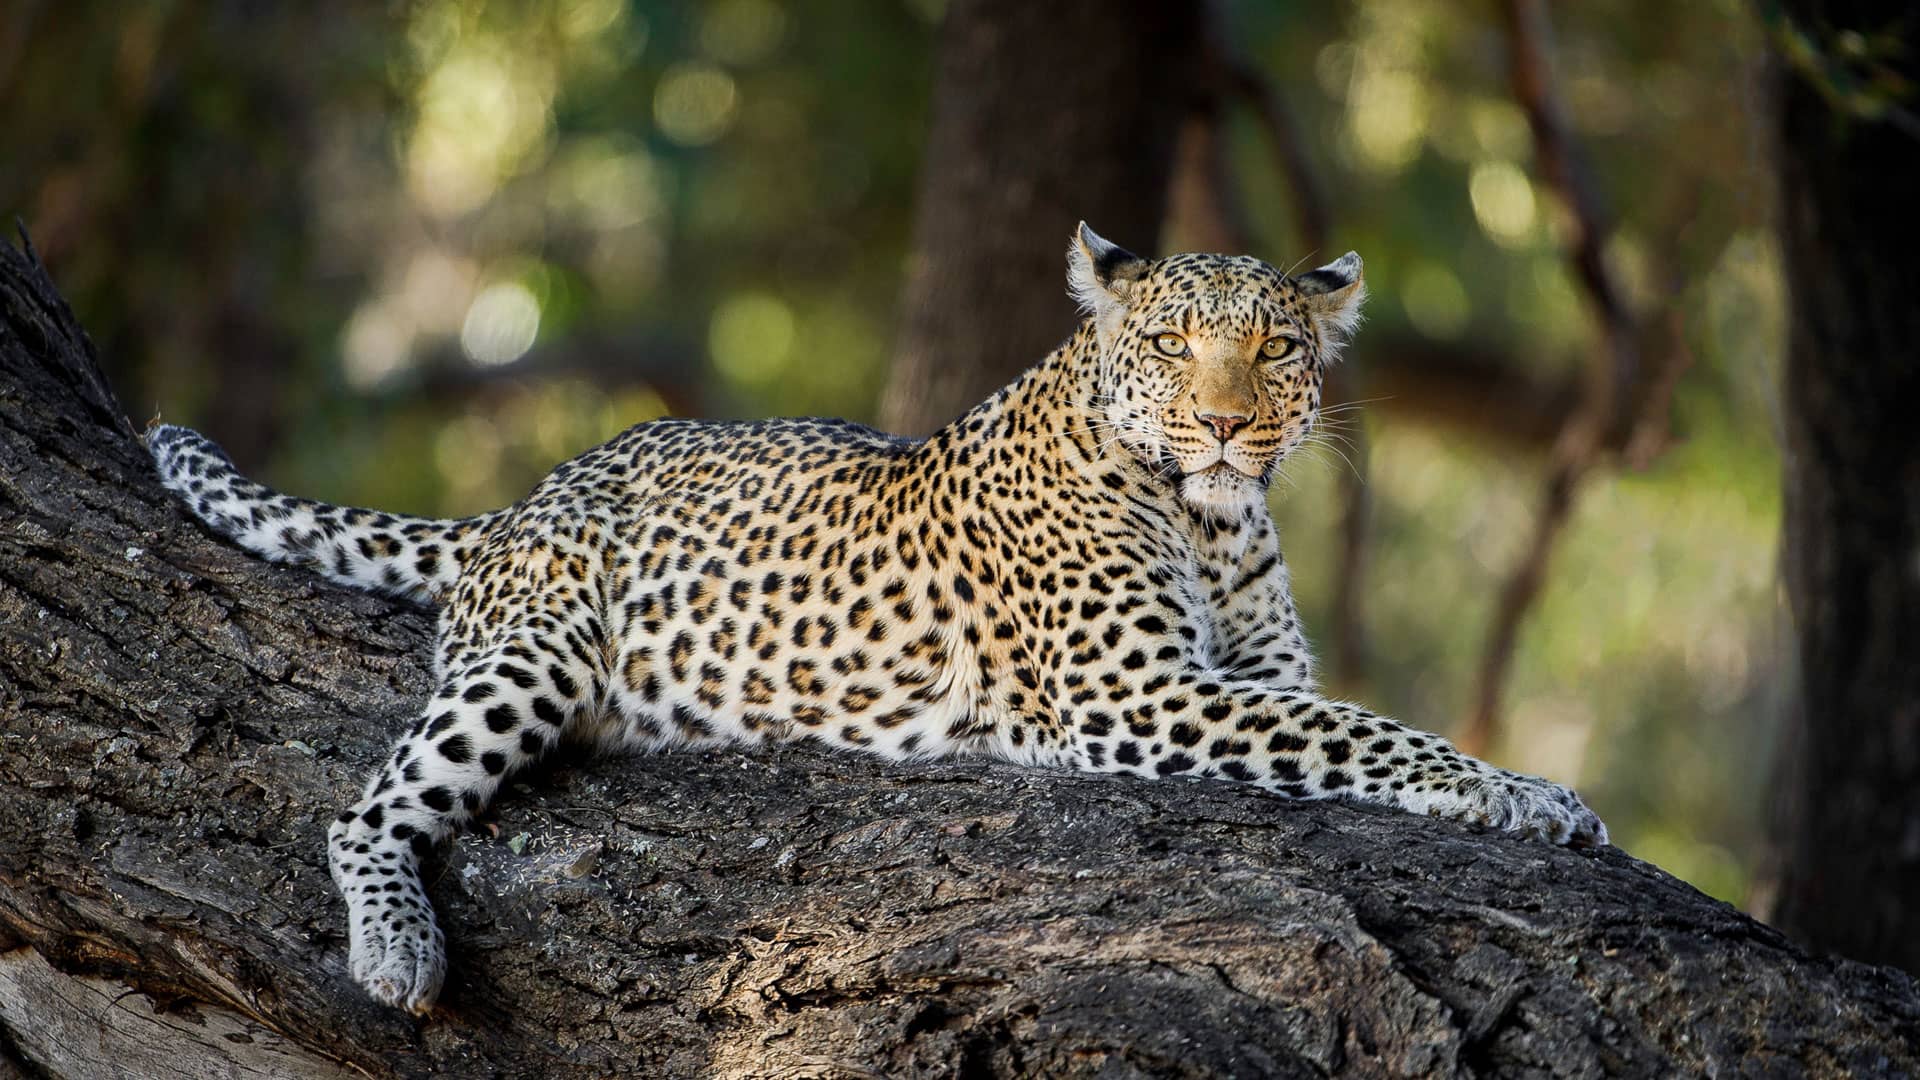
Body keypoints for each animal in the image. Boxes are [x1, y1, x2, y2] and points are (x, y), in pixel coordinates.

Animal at [146, 223, 1608, 1014]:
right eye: (1173, 345)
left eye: (1276, 349)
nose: (1224, 426)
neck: (1212, 521)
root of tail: (524, 499)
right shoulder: (1130, 698)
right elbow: (1368, 733)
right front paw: (1513, 795)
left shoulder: (1252, 673)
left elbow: (1344, 716)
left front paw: (1533, 788)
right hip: (535, 652)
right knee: (365, 811)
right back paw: (399, 949)